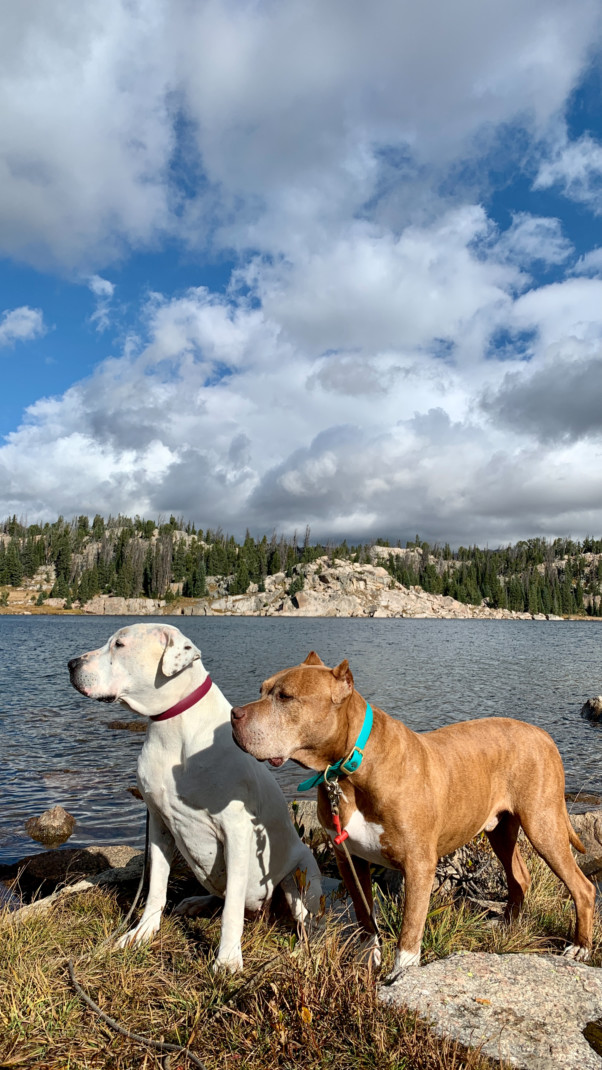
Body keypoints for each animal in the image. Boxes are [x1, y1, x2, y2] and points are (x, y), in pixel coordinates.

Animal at [68, 624, 322, 975]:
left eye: (119, 644)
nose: (71, 664)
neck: (172, 728)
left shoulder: (236, 831)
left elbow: (232, 911)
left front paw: (227, 960)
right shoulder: (159, 825)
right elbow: (156, 888)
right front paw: (142, 932)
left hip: (301, 874)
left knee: (303, 921)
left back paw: (302, 953)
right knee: (223, 895)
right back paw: (196, 902)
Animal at [233, 646, 594, 980]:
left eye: (285, 697)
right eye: (261, 690)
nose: (235, 714)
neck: (349, 770)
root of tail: (543, 735)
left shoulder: (418, 864)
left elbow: (410, 928)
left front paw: (401, 975)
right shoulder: (348, 858)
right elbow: (365, 917)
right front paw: (367, 962)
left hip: (543, 824)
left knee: (583, 887)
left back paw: (580, 947)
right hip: (501, 830)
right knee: (520, 875)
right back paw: (508, 926)